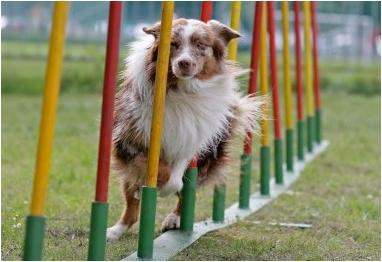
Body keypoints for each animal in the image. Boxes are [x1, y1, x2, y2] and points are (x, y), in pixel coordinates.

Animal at [106, 17, 264, 241]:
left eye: (200, 45)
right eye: (173, 44)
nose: (184, 63)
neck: (182, 89)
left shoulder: (190, 142)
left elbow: (176, 179)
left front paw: (167, 190)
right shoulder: (132, 140)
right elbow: (157, 170)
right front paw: (154, 185)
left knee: (187, 191)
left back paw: (175, 218)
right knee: (132, 202)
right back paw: (115, 230)